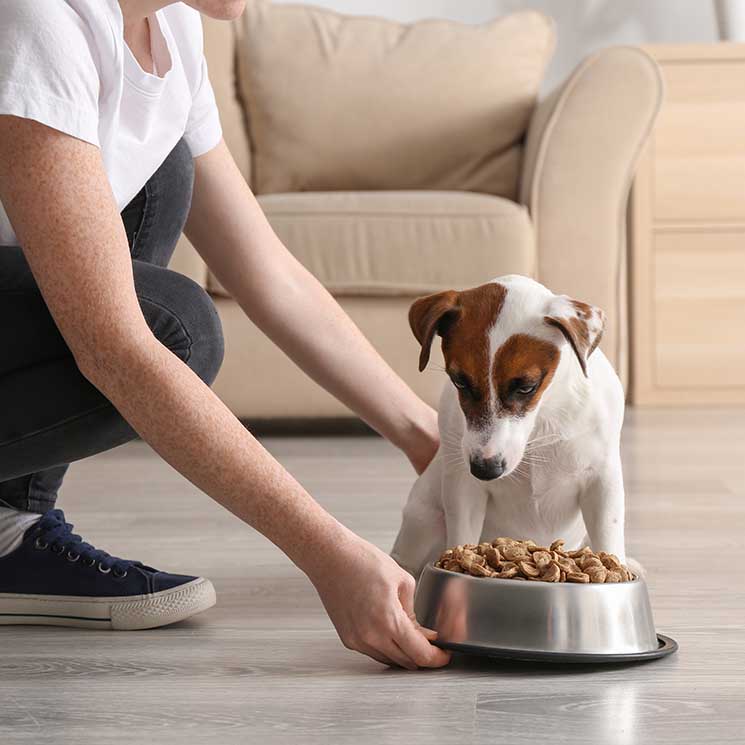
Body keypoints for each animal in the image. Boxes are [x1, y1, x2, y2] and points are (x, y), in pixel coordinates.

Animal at [390, 274, 628, 576]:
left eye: (526, 387)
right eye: (460, 381)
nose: (485, 469)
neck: (541, 420)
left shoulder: (602, 482)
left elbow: (609, 541)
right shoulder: (463, 488)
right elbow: (462, 537)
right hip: (424, 518)